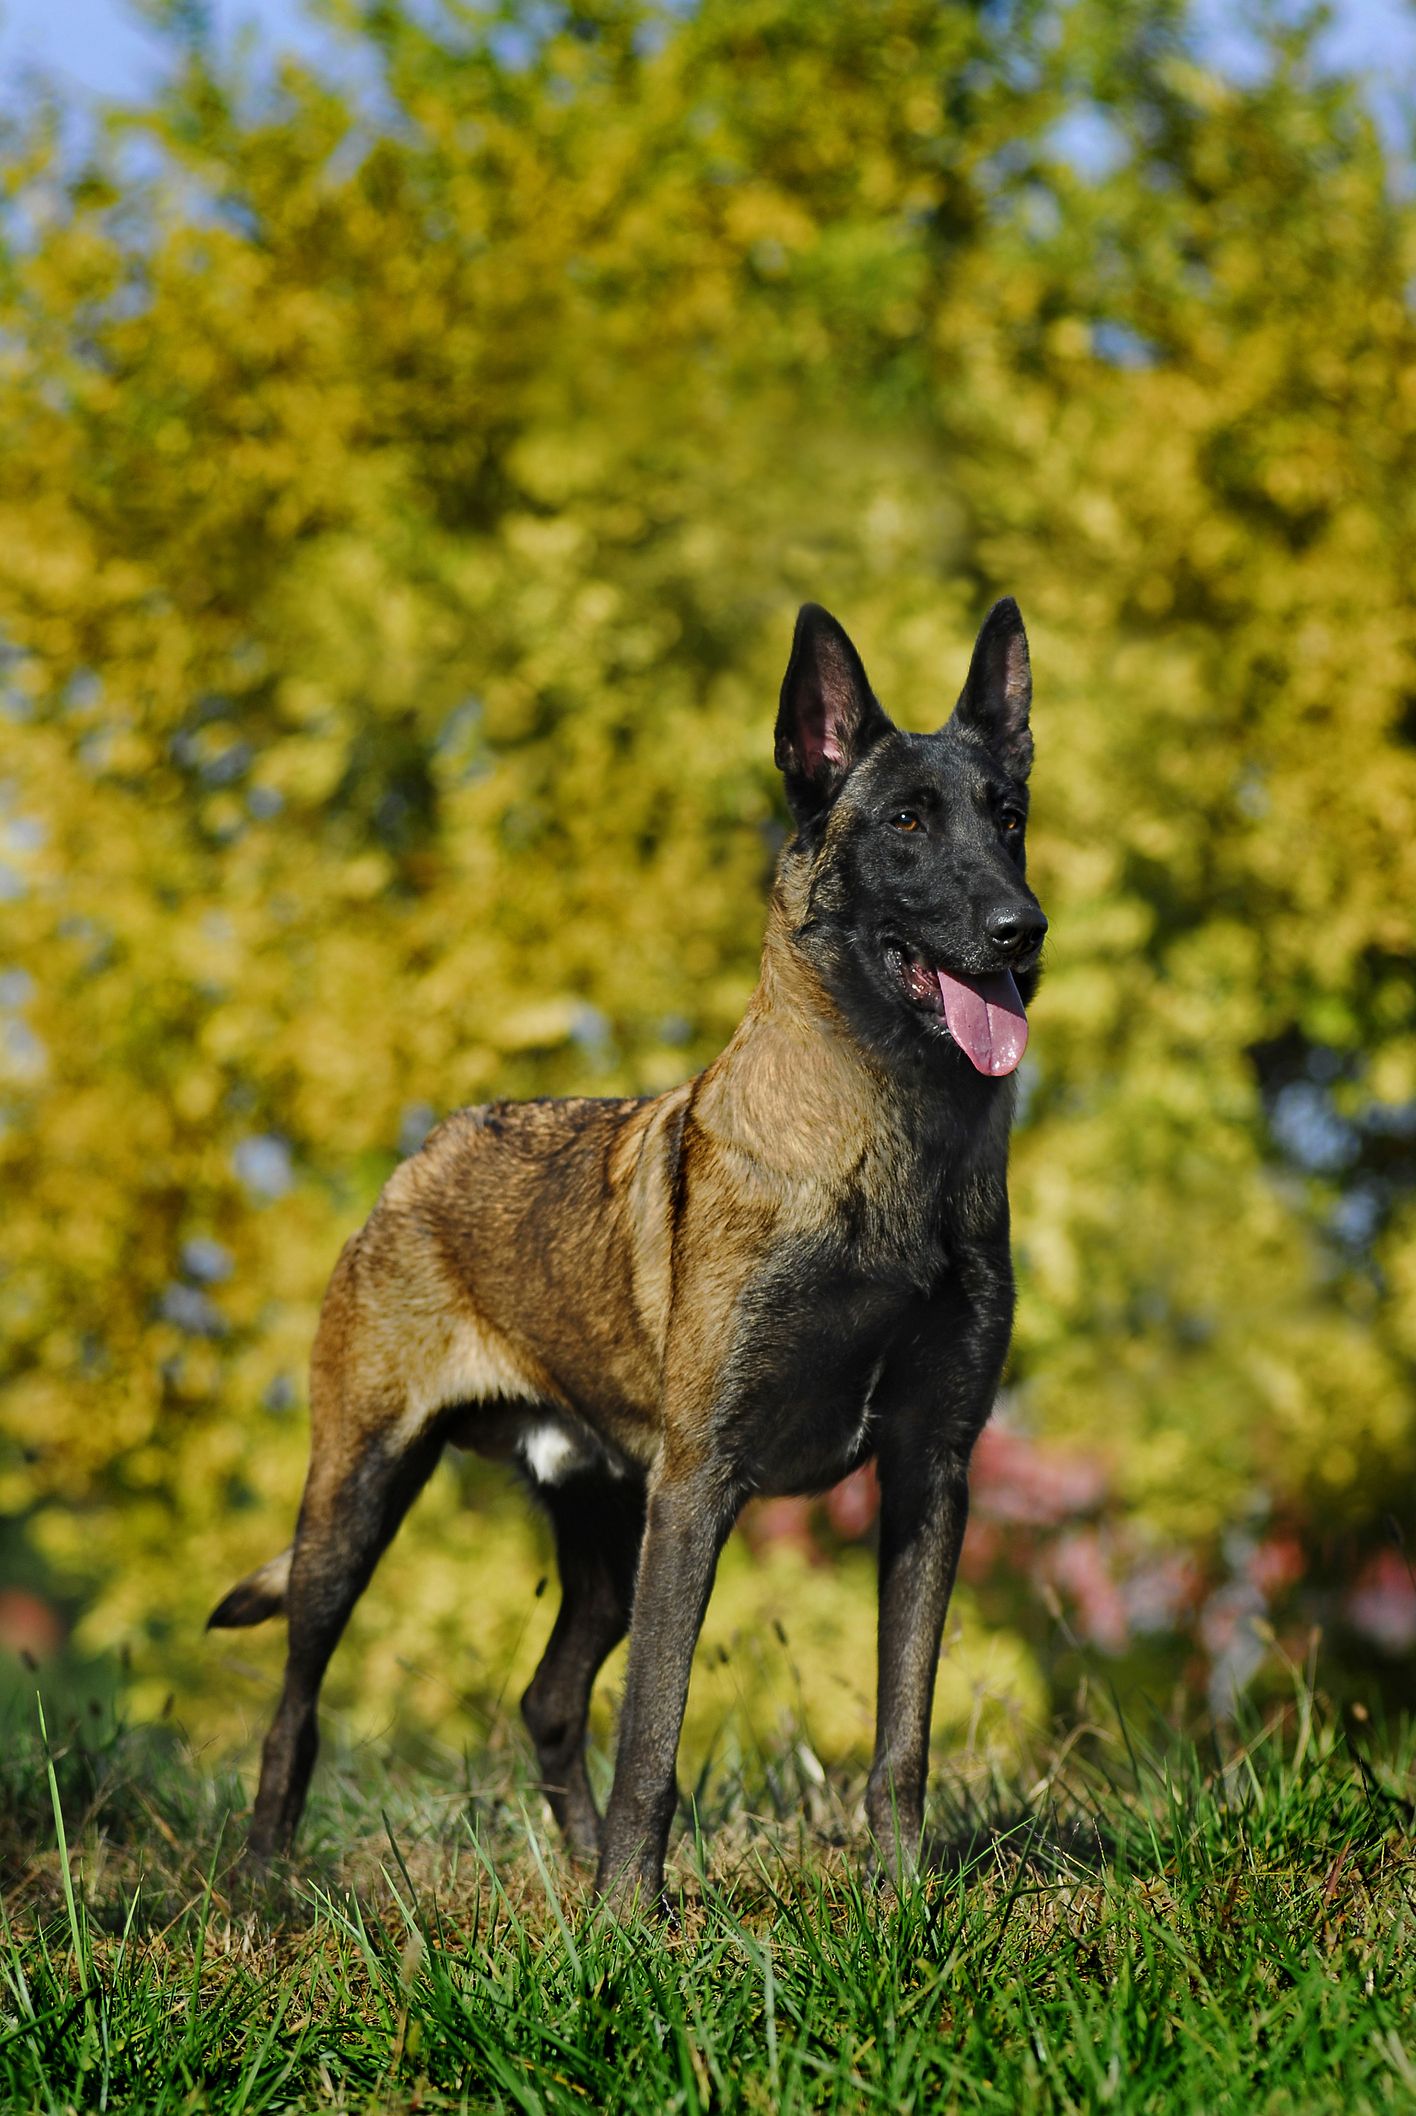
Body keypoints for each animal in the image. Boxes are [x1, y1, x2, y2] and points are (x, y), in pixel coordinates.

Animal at [212, 592, 1049, 1904]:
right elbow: (655, 1727)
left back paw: (573, 1863)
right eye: (908, 822)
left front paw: (903, 1896)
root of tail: (421, 1157)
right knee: (300, 1703)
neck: (890, 1148)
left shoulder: (931, 1470)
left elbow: (901, 1727)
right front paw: (627, 1922)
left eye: (1008, 817)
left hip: (602, 1534)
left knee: (550, 1699)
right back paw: (265, 1881)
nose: (1025, 931)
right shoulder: (699, 1485)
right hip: (357, 1499)